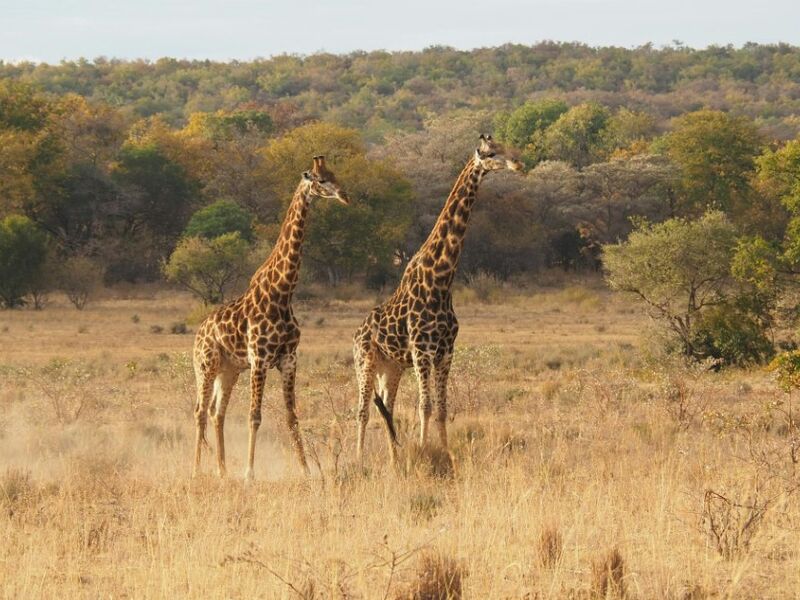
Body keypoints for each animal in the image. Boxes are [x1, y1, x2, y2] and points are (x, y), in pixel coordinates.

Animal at [192, 155, 348, 478]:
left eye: (335, 174)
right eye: (320, 179)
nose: (344, 195)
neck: (282, 293)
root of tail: (197, 334)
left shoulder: (288, 358)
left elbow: (292, 417)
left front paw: (306, 471)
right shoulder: (260, 359)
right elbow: (255, 415)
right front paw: (249, 474)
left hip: (229, 370)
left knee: (216, 412)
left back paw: (222, 471)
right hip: (206, 365)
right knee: (200, 411)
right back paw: (197, 470)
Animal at [354, 137, 520, 464]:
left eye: (508, 146)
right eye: (492, 153)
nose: (518, 164)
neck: (441, 279)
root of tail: (355, 334)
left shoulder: (446, 351)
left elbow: (442, 408)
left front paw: (446, 453)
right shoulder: (422, 349)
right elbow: (425, 406)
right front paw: (423, 451)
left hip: (391, 368)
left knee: (386, 407)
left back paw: (394, 458)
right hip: (364, 362)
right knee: (362, 410)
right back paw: (358, 459)